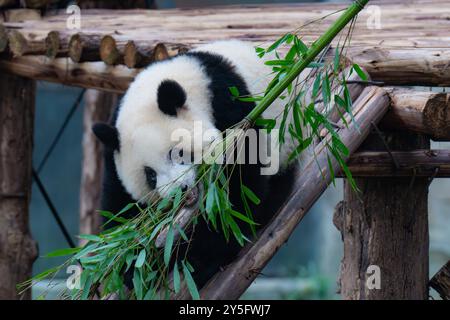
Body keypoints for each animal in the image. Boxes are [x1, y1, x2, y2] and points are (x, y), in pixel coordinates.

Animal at [91, 39, 304, 288]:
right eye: (150, 175)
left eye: (178, 154)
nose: (180, 192)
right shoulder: (113, 149)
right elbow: (121, 206)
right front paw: (132, 262)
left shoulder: (231, 109)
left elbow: (238, 188)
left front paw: (202, 258)